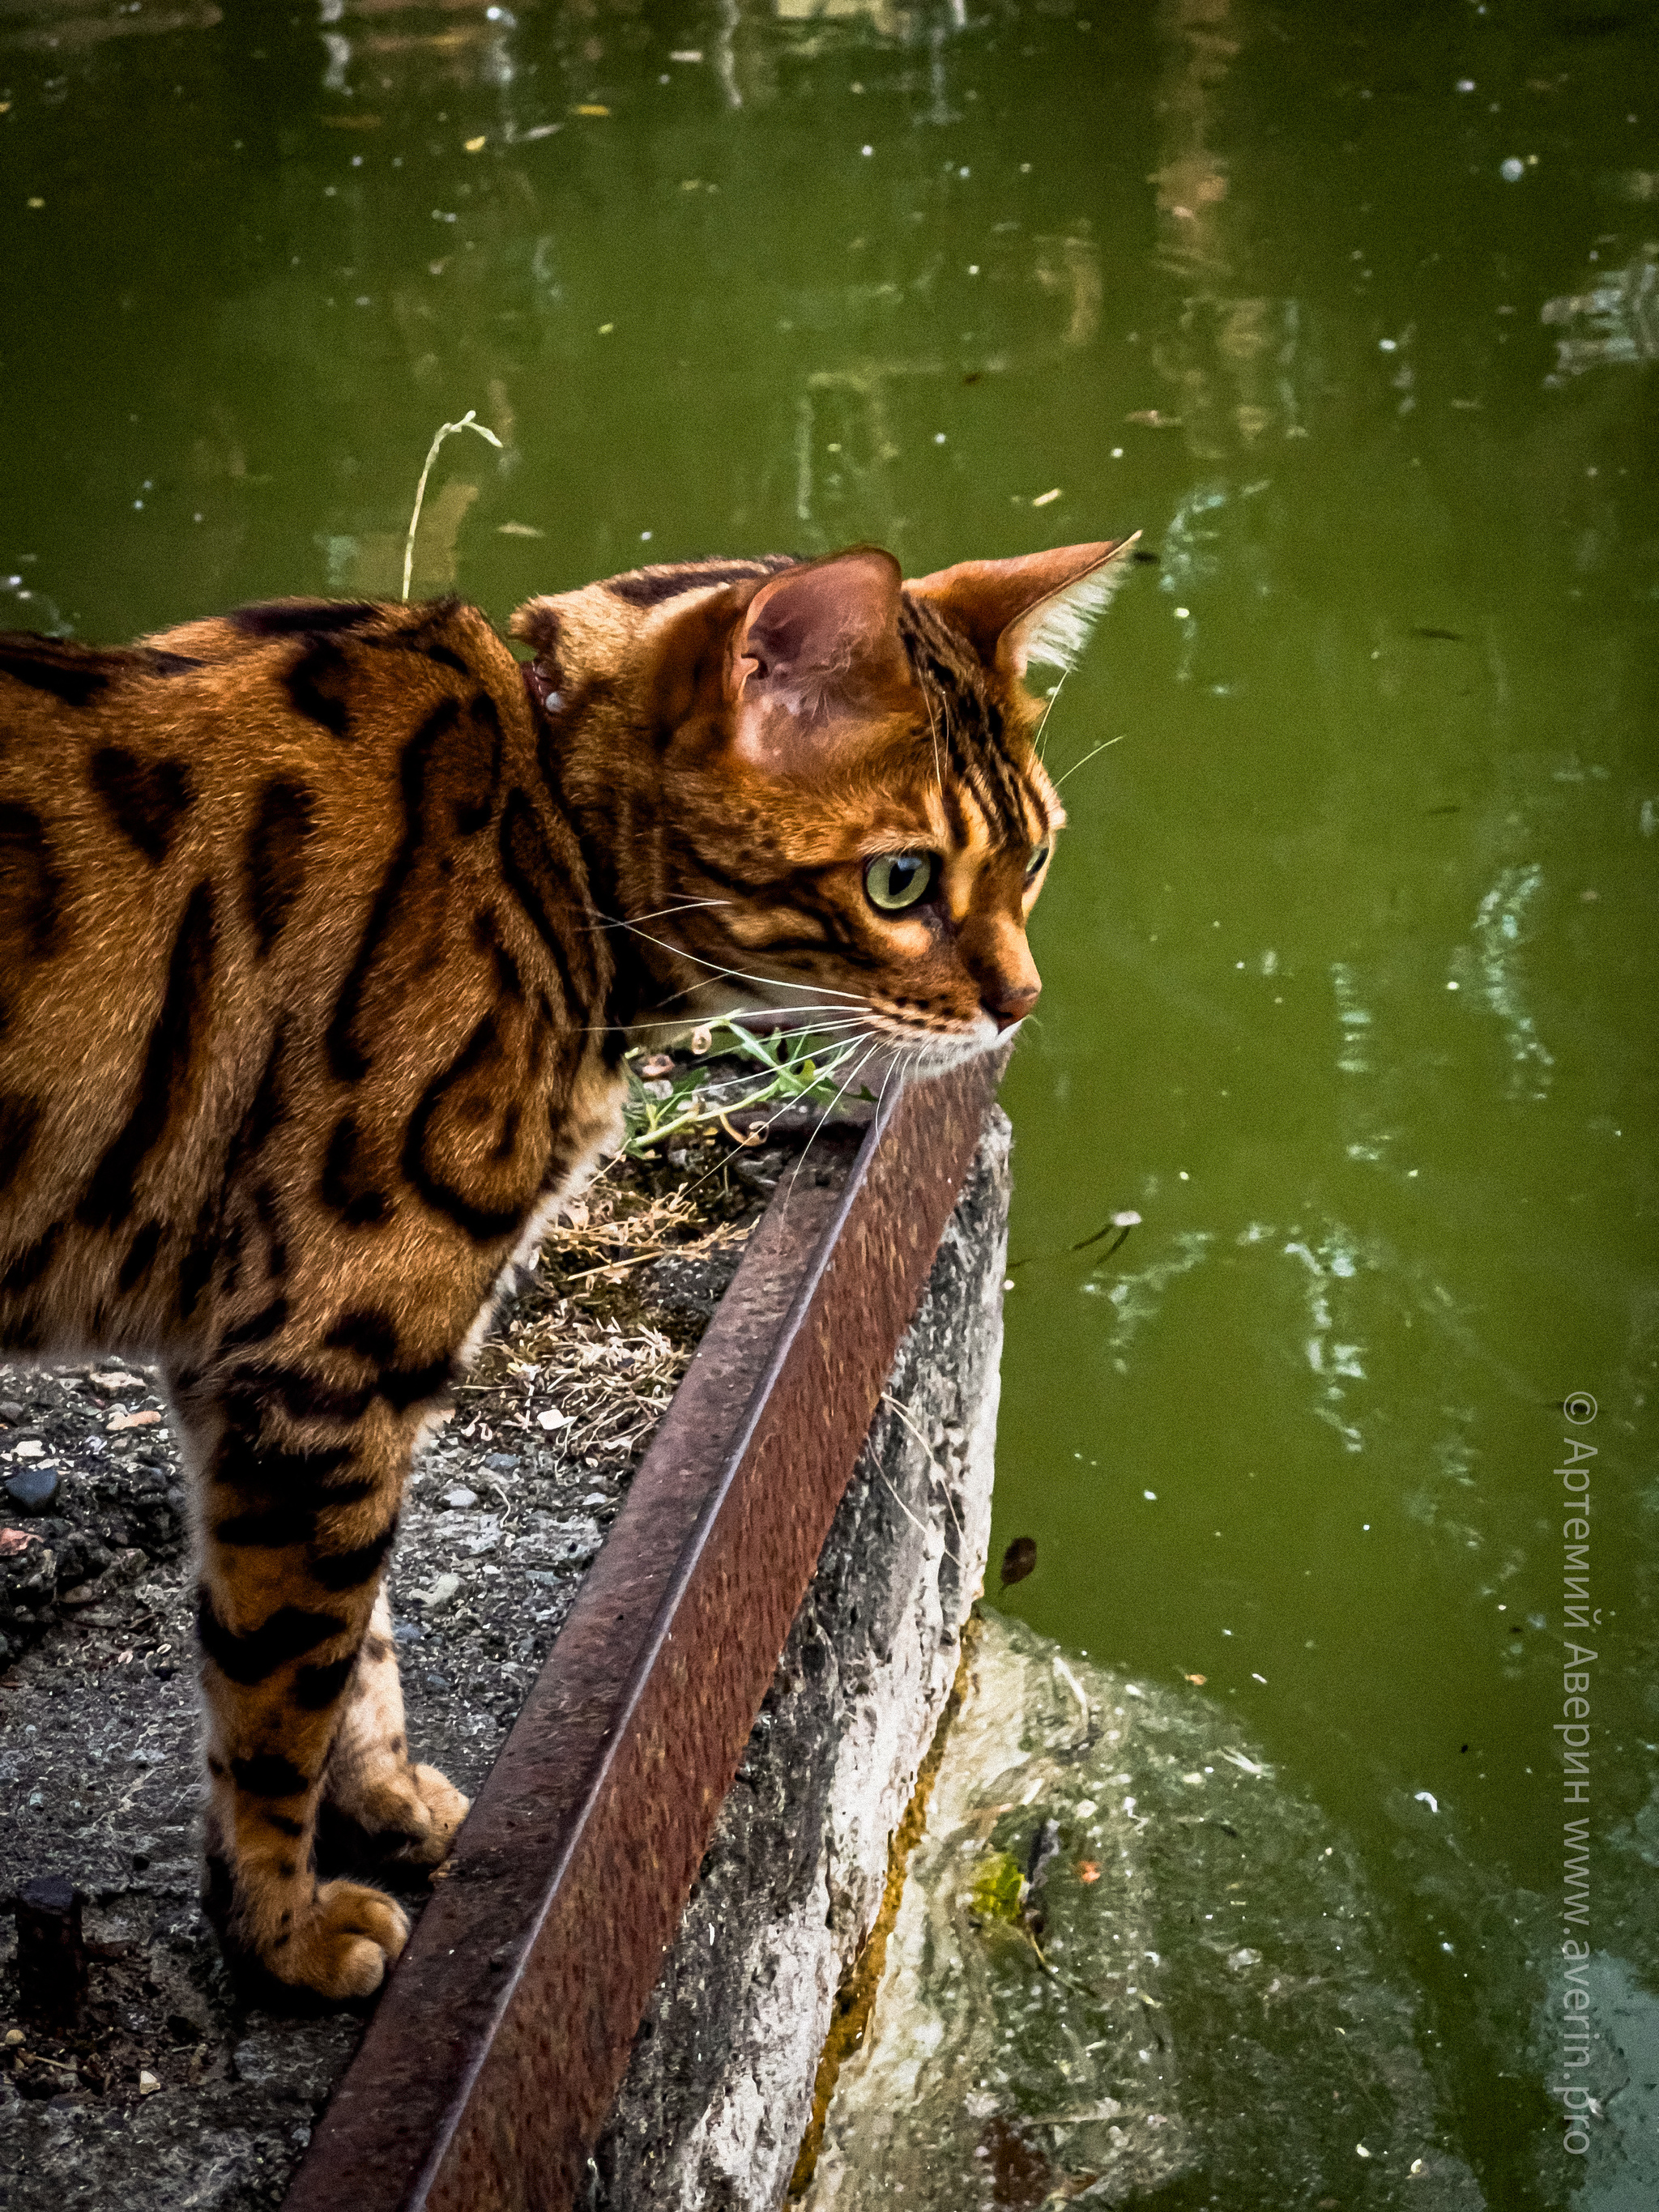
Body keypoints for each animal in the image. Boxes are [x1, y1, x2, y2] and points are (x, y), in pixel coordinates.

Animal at [0, 539, 1132, 2008]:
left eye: (1035, 857)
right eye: (897, 881)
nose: (1020, 1002)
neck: (543, 828)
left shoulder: (278, 1376)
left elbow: (352, 1643)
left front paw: (378, 1803)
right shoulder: (322, 1362)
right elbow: (281, 1685)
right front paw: (280, 1927)